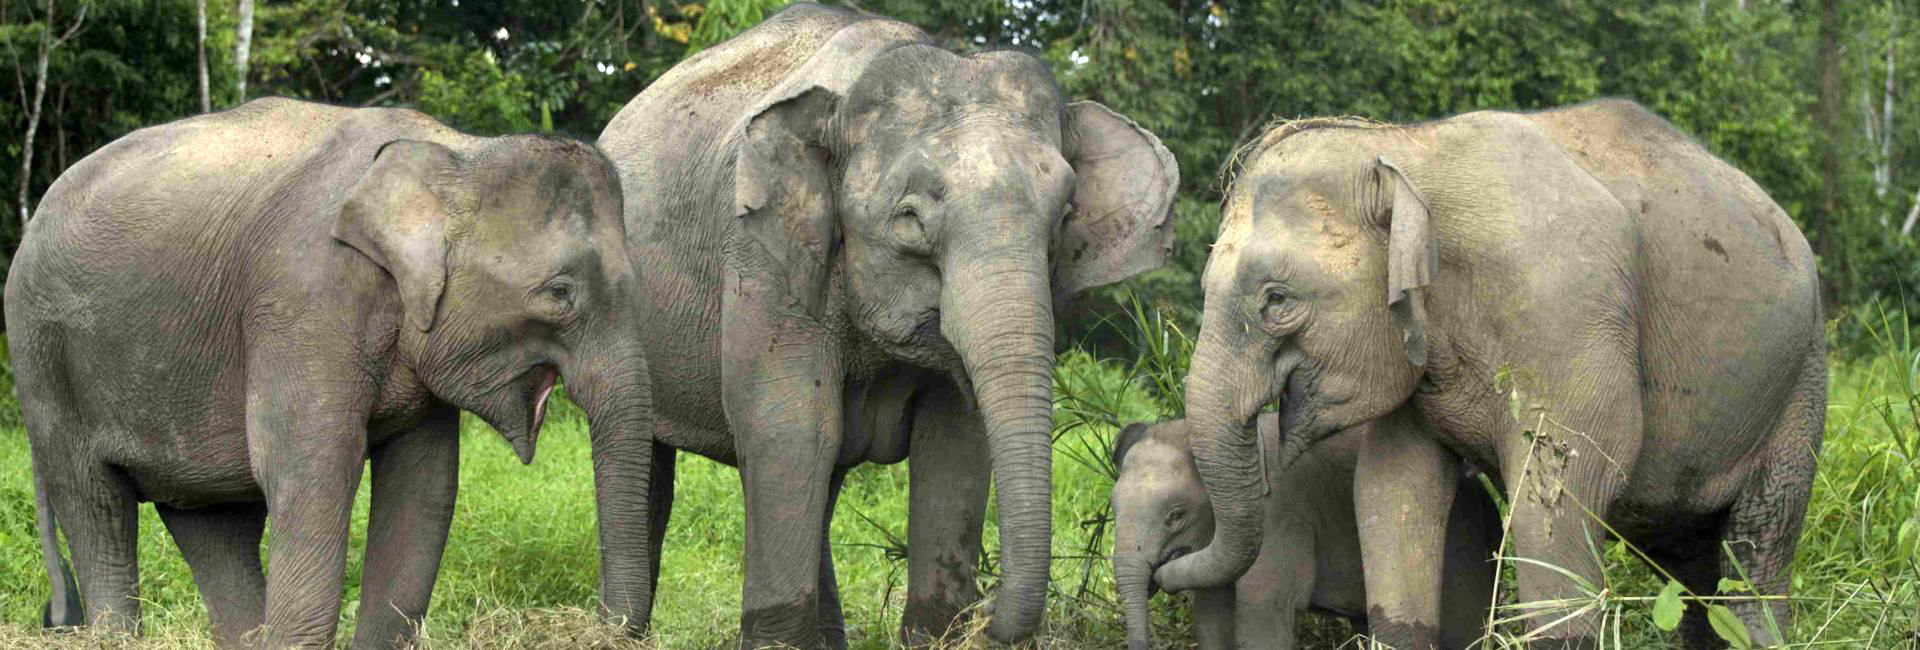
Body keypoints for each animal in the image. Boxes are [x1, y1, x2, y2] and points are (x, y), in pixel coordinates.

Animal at [6, 97, 651, 649]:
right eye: (560, 292)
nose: (608, 628)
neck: (453, 152)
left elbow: (425, 487)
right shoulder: (303, 301)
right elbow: (310, 468)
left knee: (213, 523)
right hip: (42, 354)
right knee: (94, 502)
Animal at [592, 4, 1177, 647]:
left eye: (1065, 218)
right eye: (911, 219)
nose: (988, 612)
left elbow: (955, 442)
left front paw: (939, 630)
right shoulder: (760, 250)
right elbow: (788, 427)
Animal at [1110, 413, 1498, 650]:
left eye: (1175, 516)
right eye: (1113, 508)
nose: (1158, 575)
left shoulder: (1278, 519)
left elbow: (1265, 611)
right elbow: (1211, 617)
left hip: (1463, 543)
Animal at [1158, 99, 1826, 648]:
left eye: (1276, 301)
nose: (1163, 570)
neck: (1407, 149)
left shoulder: (1565, 312)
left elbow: (1558, 492)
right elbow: (1391, 489)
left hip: (1802, 376)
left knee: (1759, 541)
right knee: (1691, 565)